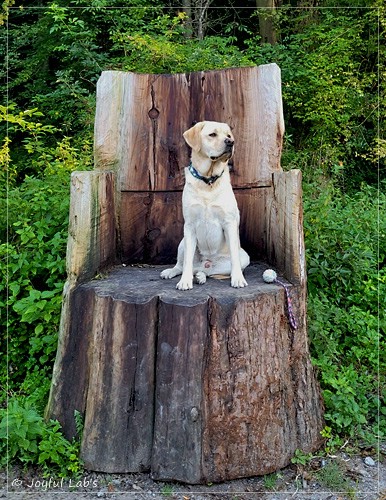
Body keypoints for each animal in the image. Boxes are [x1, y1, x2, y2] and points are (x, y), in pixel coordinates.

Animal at [161, 120, 249, 290]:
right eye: (212, 134)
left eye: (228, 135)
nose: (230, 142)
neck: (208, 181)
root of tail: (207, 262)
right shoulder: (189, 225)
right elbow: (187, 262)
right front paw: (185, 281)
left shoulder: (229, 223)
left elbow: (234, 258)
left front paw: (238, 279)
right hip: (183, 243)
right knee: (182, 265)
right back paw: (173, 272)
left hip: (244, 257)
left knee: (209, 271)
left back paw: (201, 276)